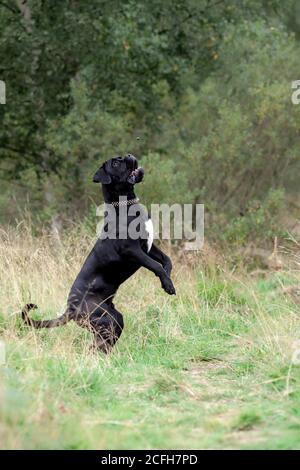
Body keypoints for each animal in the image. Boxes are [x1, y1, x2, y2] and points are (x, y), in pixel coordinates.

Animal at [22, 154, 175, 352]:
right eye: (115, 163)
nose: (128, 155)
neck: (125, 205)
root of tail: (70, 309)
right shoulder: (132, 250)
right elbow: (156, 265)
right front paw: (168, 285)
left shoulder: (149, 245)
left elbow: (166, 260)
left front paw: (167, 279)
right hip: (105, 320)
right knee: (96, 346)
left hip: (113, 319)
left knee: (101, 343)